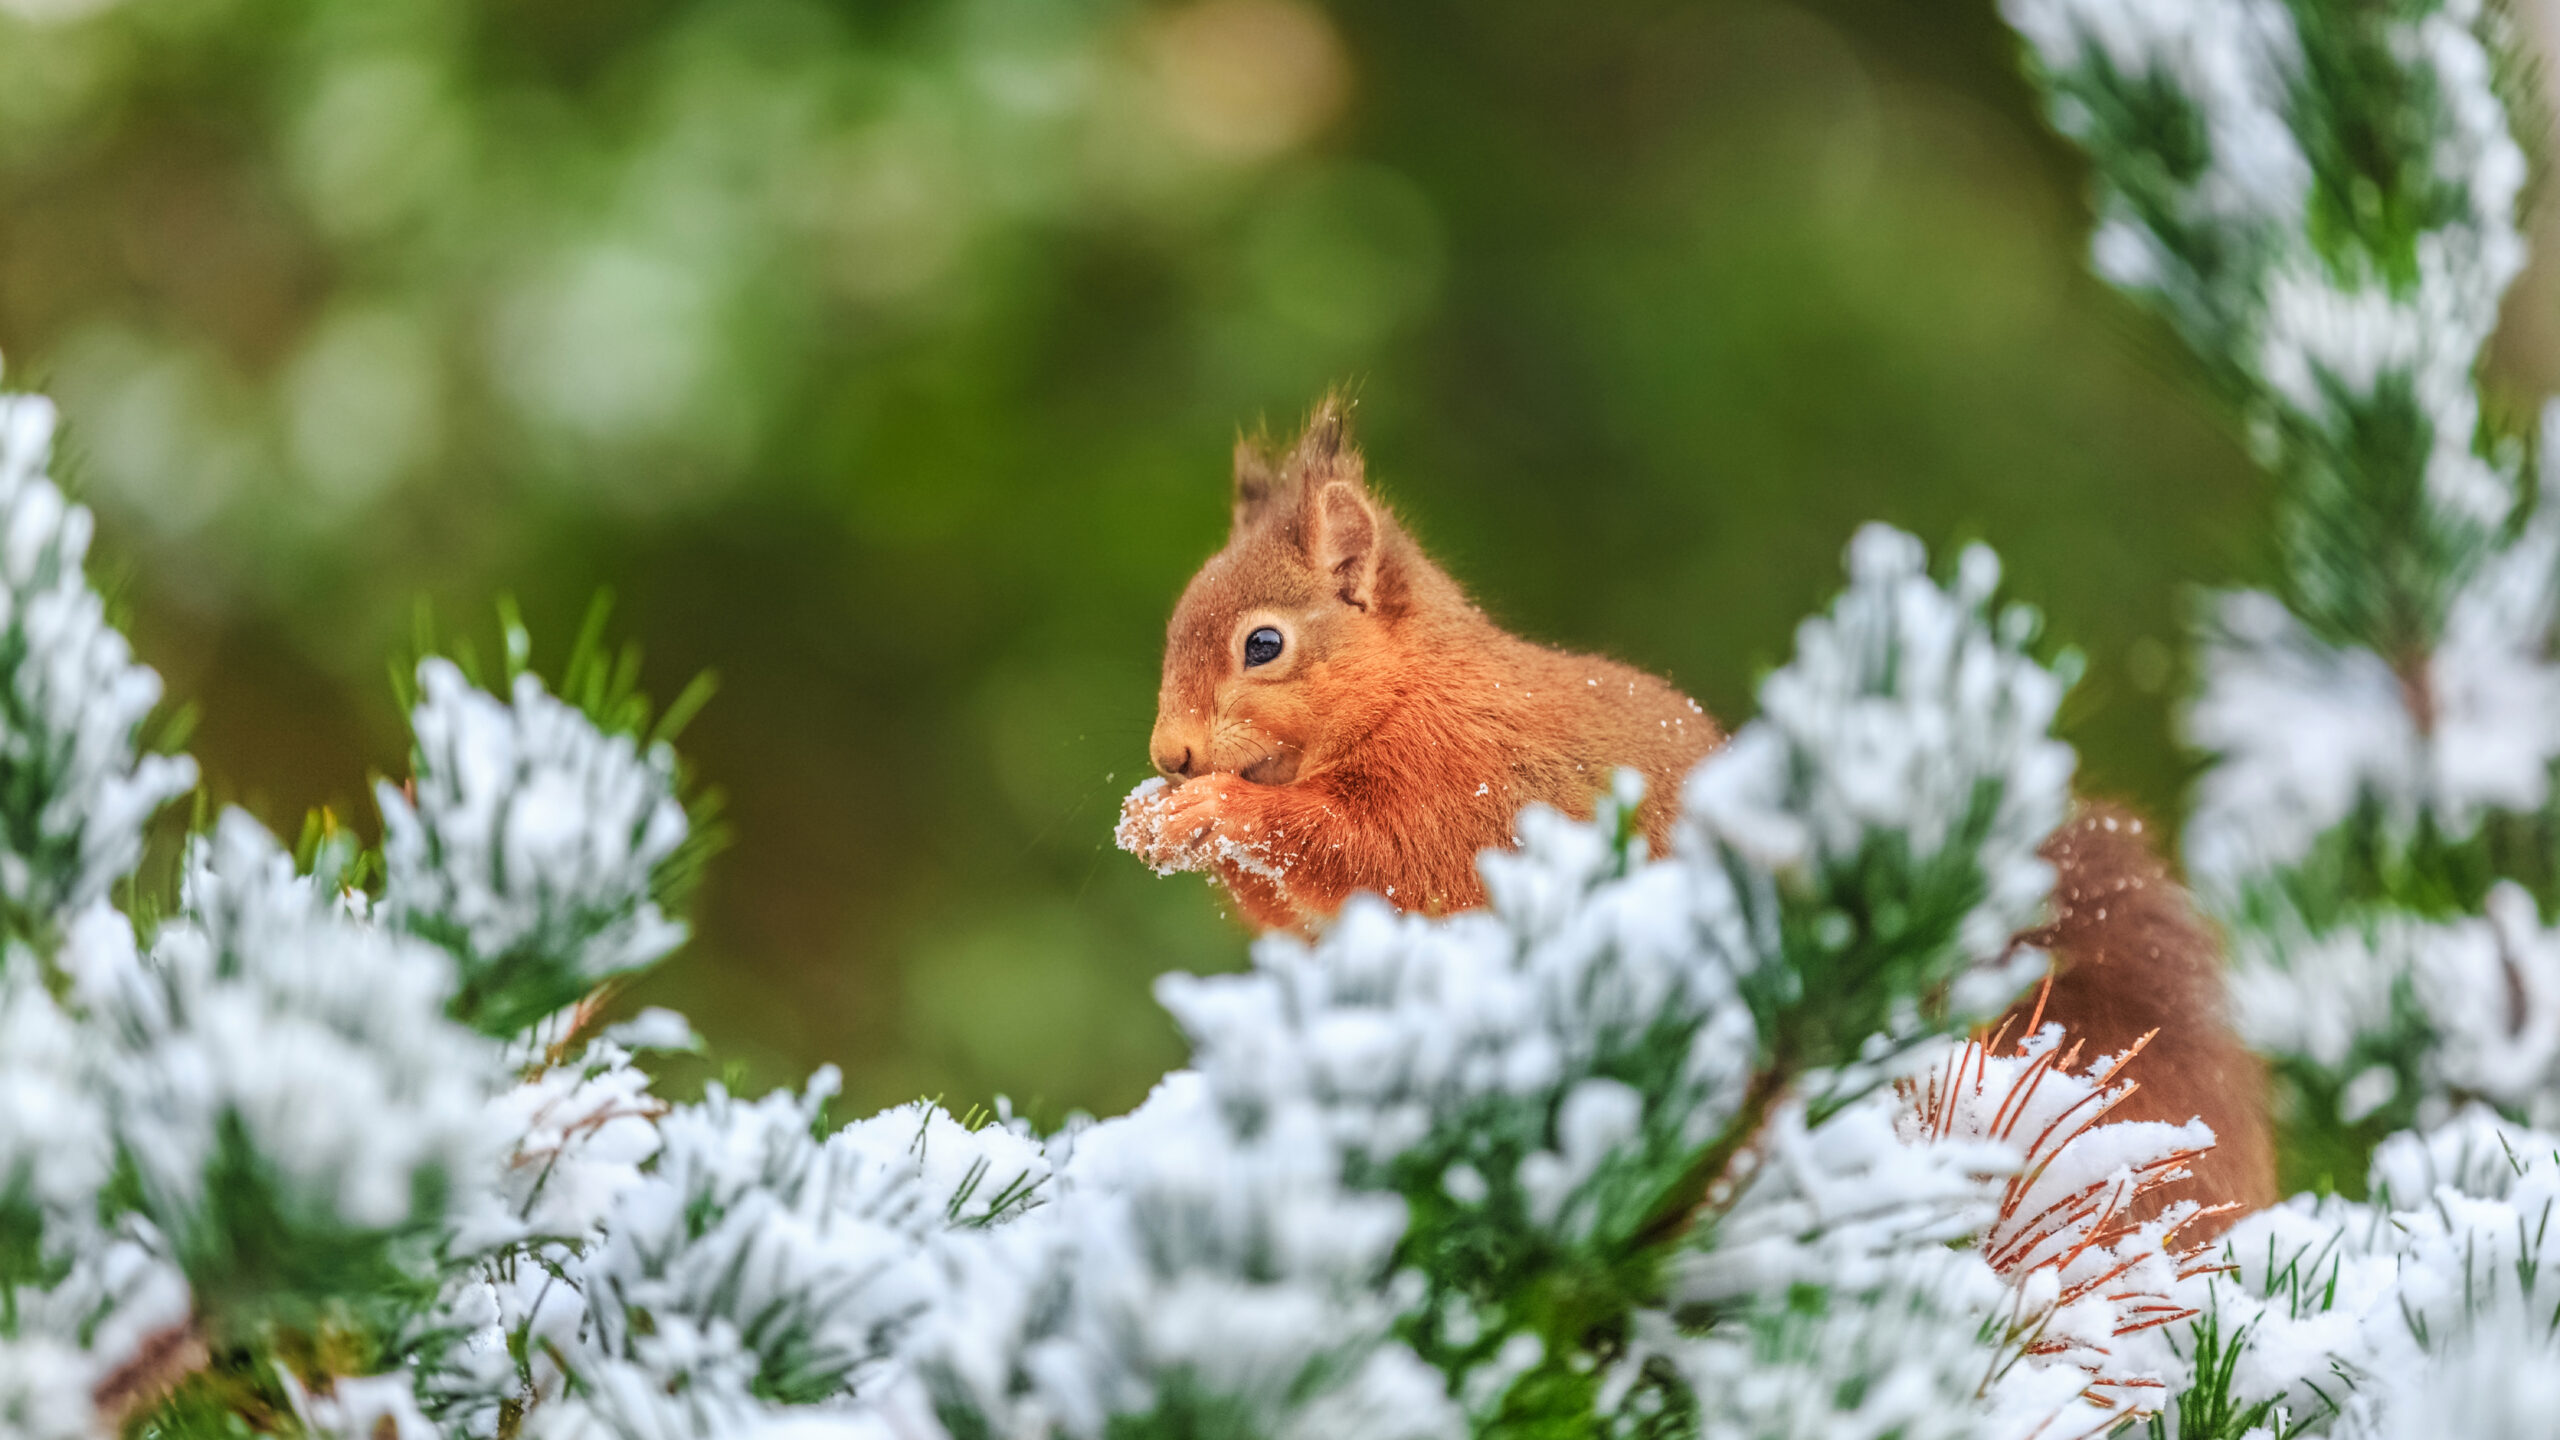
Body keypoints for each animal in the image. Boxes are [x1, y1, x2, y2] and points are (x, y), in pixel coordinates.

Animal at [1116, 399, 2276, 1222]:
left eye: (1265, 644)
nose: (1169, 753)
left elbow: (1363, 853)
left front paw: (1205, 809)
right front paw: (1152, 816)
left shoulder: (1467, 797)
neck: (1410, 695)